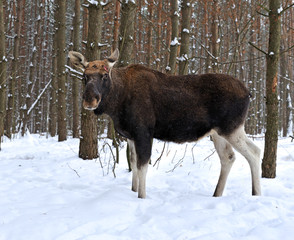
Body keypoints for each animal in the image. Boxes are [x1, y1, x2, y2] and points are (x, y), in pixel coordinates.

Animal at [69, 49, 262, 199]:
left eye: (104, 75)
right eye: (84, 76)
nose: (90, 100)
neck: (117, 103)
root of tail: (249, 92)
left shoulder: (144, 131)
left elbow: (142, 166)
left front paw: (141, 196)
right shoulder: (130, 135)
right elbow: (133, 162)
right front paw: (133, 190)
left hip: (232, 128)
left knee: (254, 152)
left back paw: (256, 193)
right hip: (217, 133)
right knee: (228, 157)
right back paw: (217, 194)